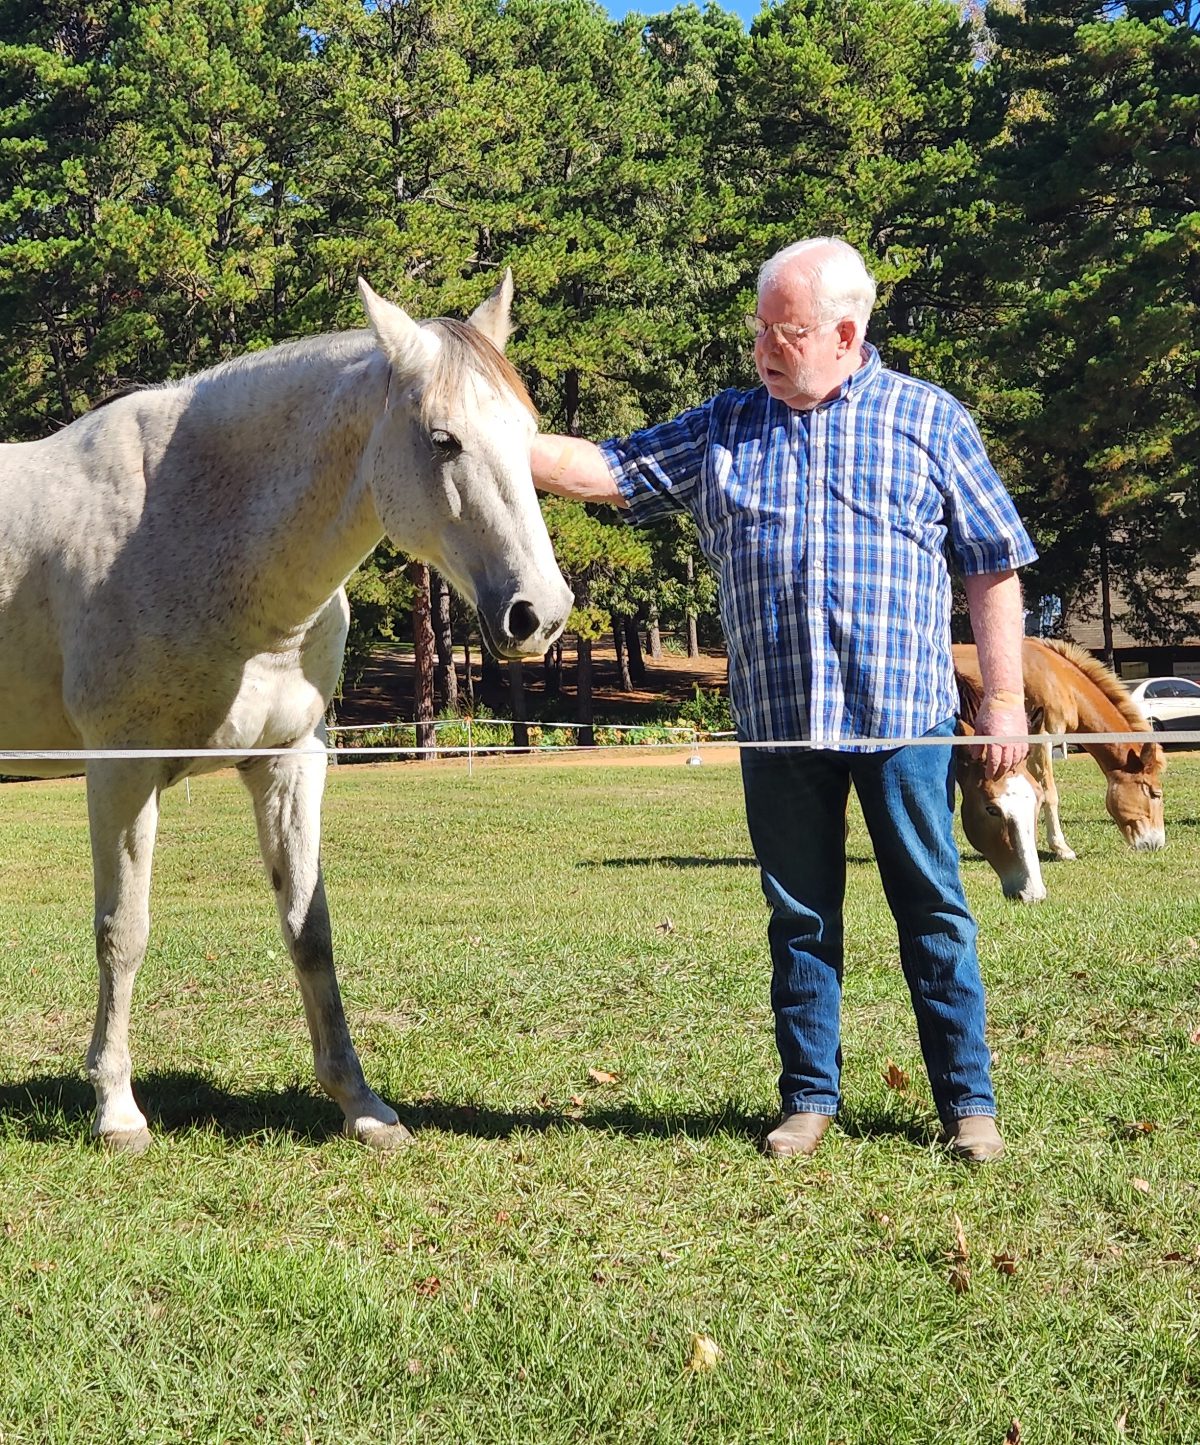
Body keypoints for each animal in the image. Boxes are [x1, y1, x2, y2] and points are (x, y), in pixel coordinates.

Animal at [0, 274, 573, 1153]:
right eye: (443, 440)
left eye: (530, 433)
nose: (539, 614)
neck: (188, 523)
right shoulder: (121, 772)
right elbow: (123, 932)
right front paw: (117, 1109)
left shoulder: (289, 763)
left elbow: (310, 929)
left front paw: (362, 1104)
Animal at [953, 638, 1165, 861]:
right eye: (1155, 794)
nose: (1156, 843)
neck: (1060, 680)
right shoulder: (1042, 740)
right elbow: (1050, 794)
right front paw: (1061, 848)